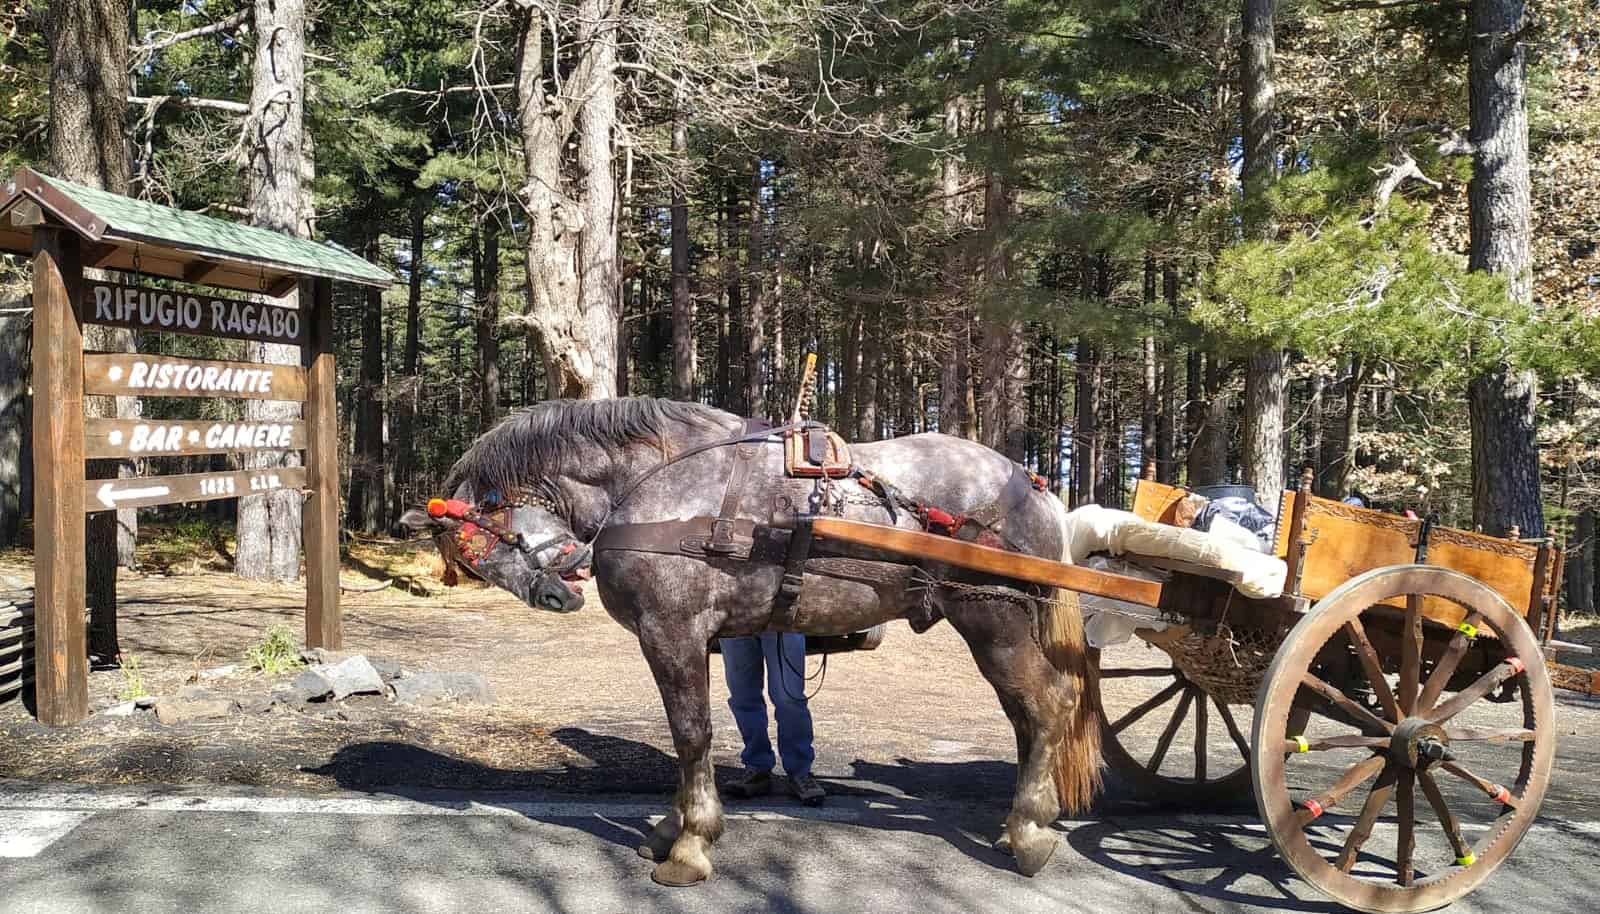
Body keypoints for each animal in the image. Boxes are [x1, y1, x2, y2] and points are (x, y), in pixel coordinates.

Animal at [400, 398, 1100, 889]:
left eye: (476, 543)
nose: (557, 590)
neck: (656, 485)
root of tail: (1032, 483)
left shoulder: (672, 631)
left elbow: (692, 735)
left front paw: (689, 845)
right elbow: (693, 735)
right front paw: (671, 828)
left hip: (995, 622)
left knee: (1049, 706)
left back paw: (1030, 831)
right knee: (1026, 716)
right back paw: (1020, 823)